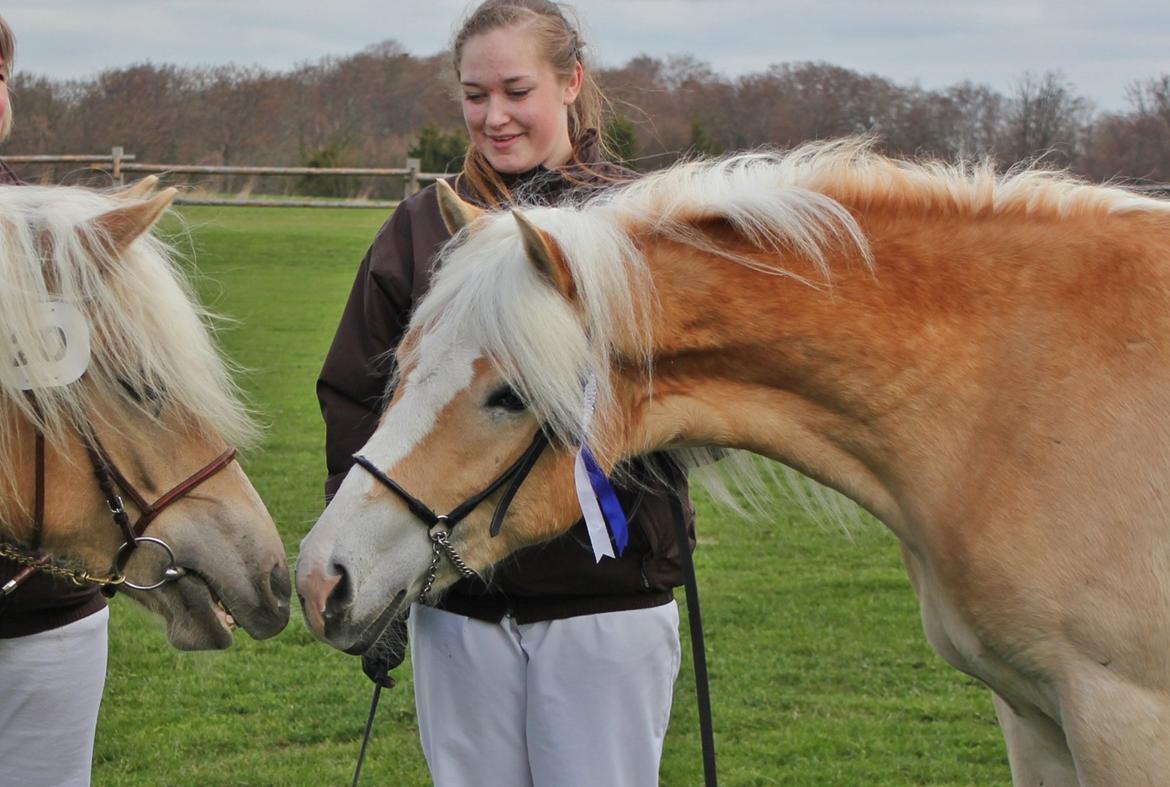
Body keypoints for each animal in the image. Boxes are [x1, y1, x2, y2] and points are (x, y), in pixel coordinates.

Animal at [297, 141, 1170, 785]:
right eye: (403, 357)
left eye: (508, 395)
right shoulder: (1035, 720)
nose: (320, 578)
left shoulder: (1120, 717)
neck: (1015, 390)